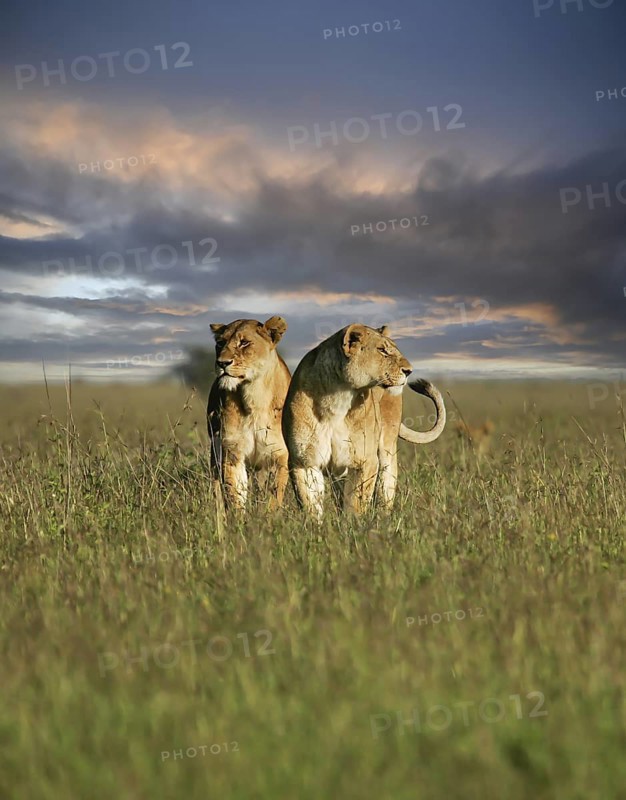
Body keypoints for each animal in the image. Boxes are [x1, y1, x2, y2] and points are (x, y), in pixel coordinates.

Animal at [207, 316, 290, 511]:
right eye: (220, 343)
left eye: (244, 342)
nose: (222, 363)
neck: (254, 396)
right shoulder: (232, 451)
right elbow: (235, 494)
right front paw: (238, 518)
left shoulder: (279, 454)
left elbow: (273, 496)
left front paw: (267, 517)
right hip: (215, 453)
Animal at [281, 323, 446, 518]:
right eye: (382, 350)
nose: (409, 371)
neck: (337, 396)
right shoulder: (304, 461)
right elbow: (310, 506)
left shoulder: (365, 460)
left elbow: (356, 504)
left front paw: (354, 525)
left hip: (386, 454)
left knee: (385, 492)